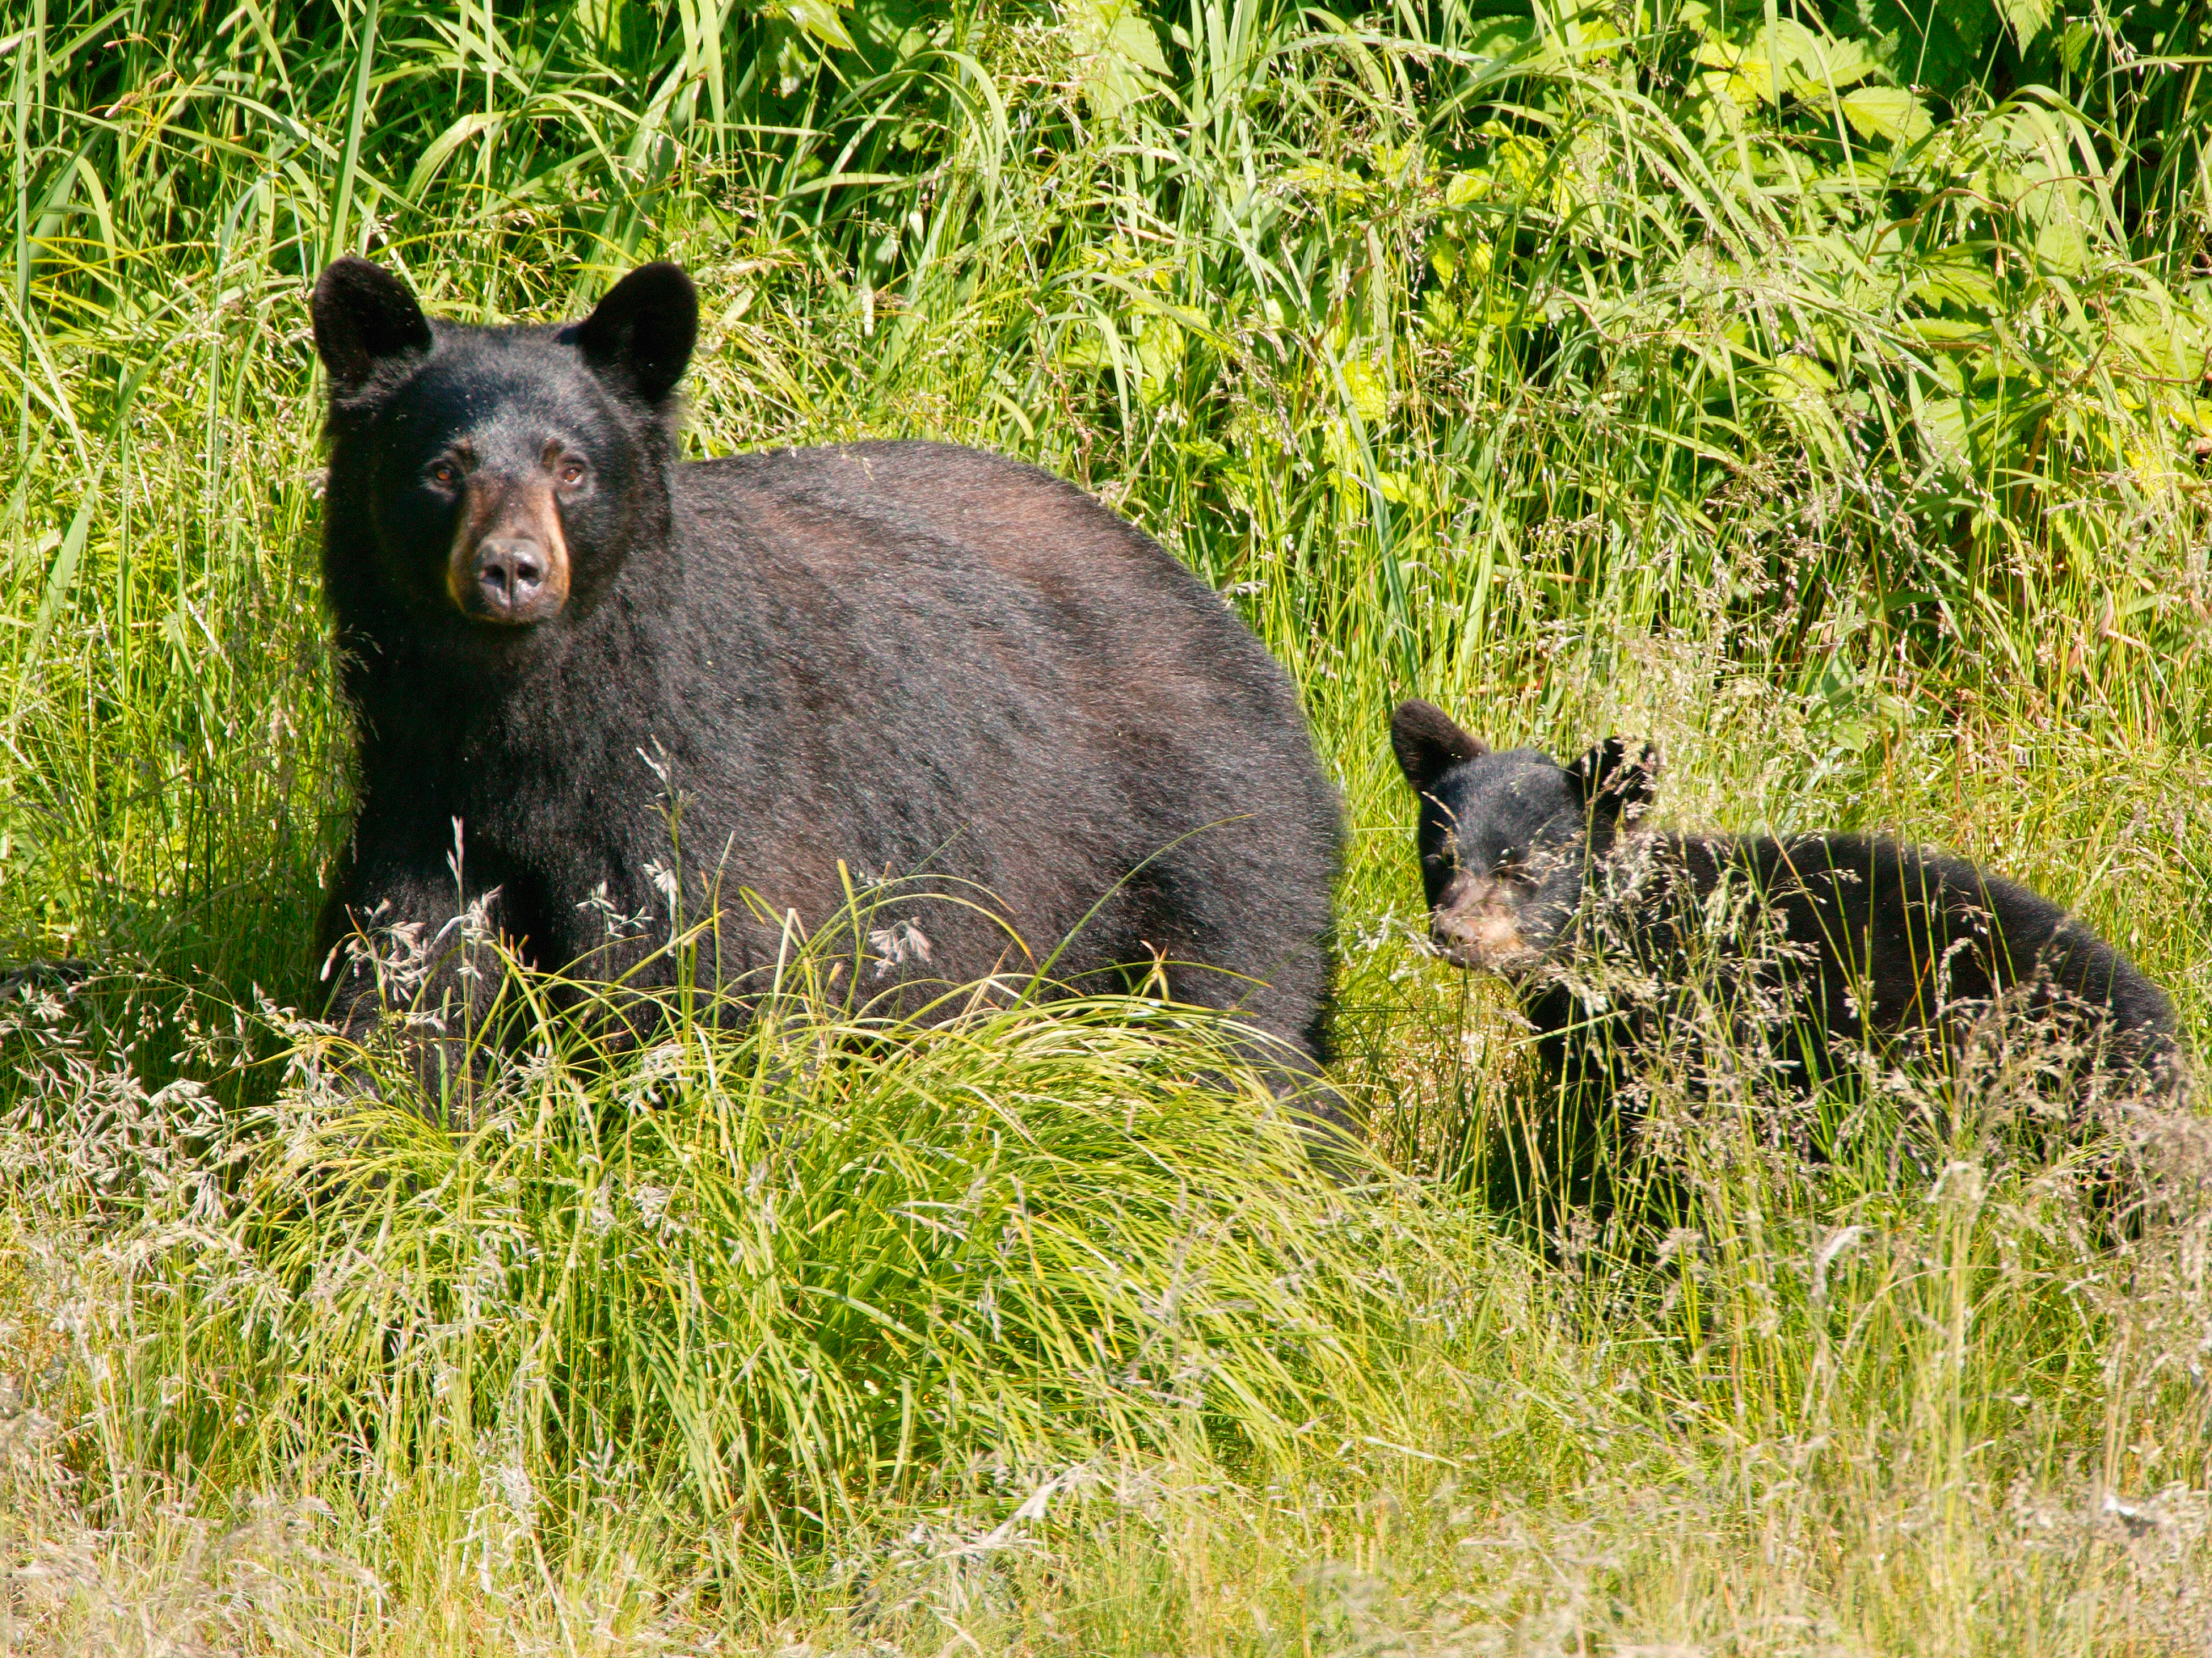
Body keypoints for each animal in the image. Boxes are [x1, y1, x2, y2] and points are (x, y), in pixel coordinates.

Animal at [306, 255, 1344, 1113]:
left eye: (572, 468)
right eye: (442, 467)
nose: (511, 569)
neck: (533, 727)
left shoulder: (698, 802)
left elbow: (706, 992)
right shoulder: (423, 801)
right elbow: (405, 985)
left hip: (1198, 834)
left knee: (1238, 1025)